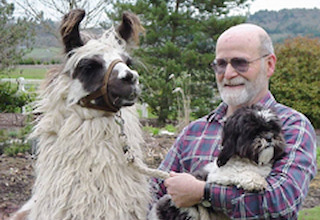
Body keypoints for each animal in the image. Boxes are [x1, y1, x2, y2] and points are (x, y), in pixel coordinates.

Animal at [149, 104, 284, 220]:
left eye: (272, 128)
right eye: (254, 131)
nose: (269, 137)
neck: (250, 162)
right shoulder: (216, 176)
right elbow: (237, 173)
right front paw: (255, 180)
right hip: (186, 211)